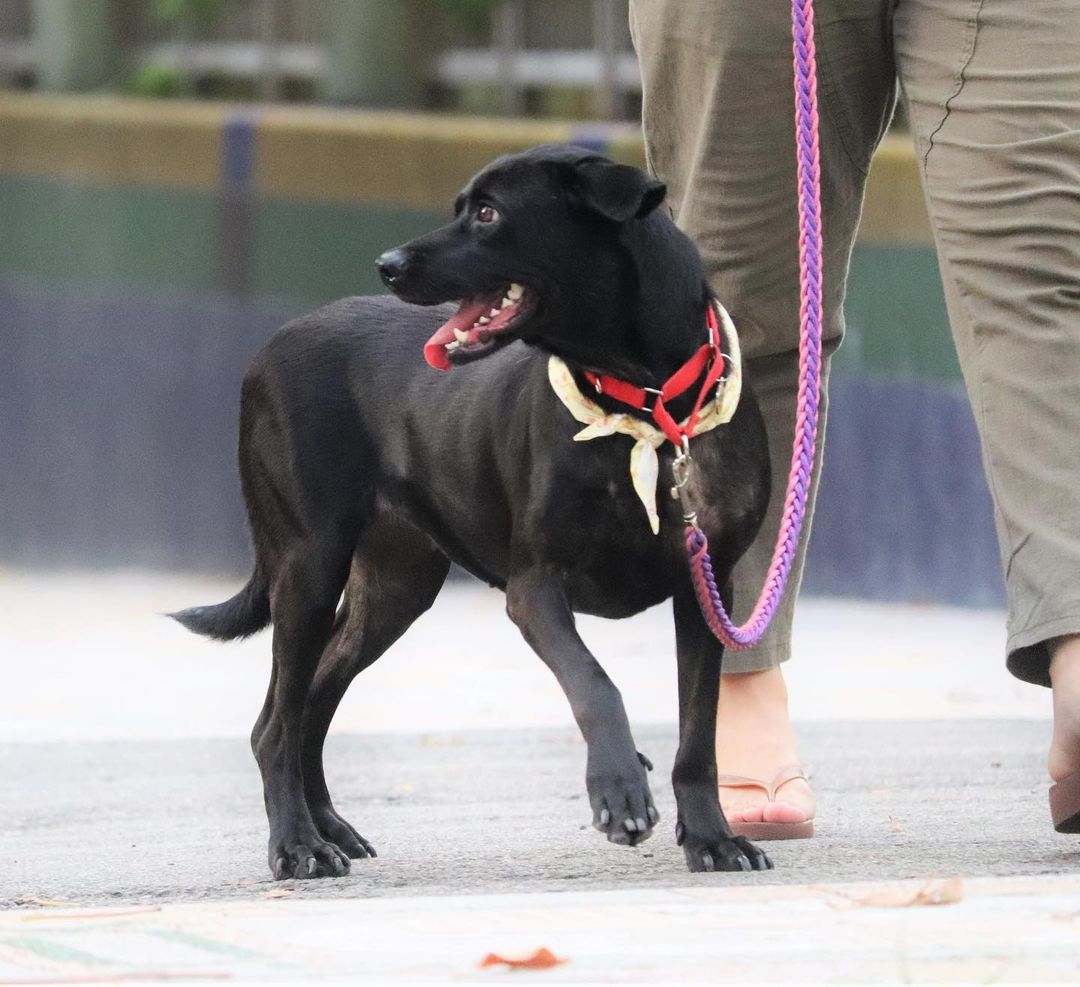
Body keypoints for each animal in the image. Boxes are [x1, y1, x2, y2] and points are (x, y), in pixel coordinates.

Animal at [172, 144, 773, 876]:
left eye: (488, 213)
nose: (388, 263)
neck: (645, 403)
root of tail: (268, 345)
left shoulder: (706, 586)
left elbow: (698, 732)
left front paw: (713, 837)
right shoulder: (535, 586)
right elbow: (595, 682)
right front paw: (619, 789)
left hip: (392, 590)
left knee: (310, 702)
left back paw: (328, 828)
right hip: (307, 567)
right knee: (277, 725)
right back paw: (297, 845)